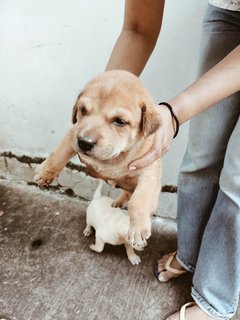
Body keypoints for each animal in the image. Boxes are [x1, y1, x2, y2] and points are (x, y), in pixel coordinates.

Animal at [34, 70, 163, 248]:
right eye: (83, 110)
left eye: (119, 121)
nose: (84, 142)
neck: (117, 156)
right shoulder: (73, 133)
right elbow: (58, 154)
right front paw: (45, 173)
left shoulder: (149, 169)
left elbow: (139, 200)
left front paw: (137, 229)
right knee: (127, 193)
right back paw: (117, 202)